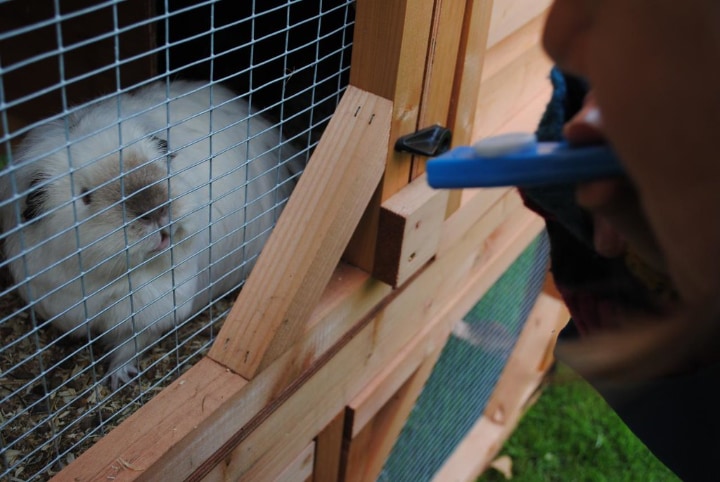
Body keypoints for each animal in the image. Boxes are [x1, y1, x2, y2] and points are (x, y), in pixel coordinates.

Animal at [0, 79, 298, 388]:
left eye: (154, 163)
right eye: (85, 196)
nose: (154, 211)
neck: (113, 280)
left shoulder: (152, 312)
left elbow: (130, 346)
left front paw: (118, 379)